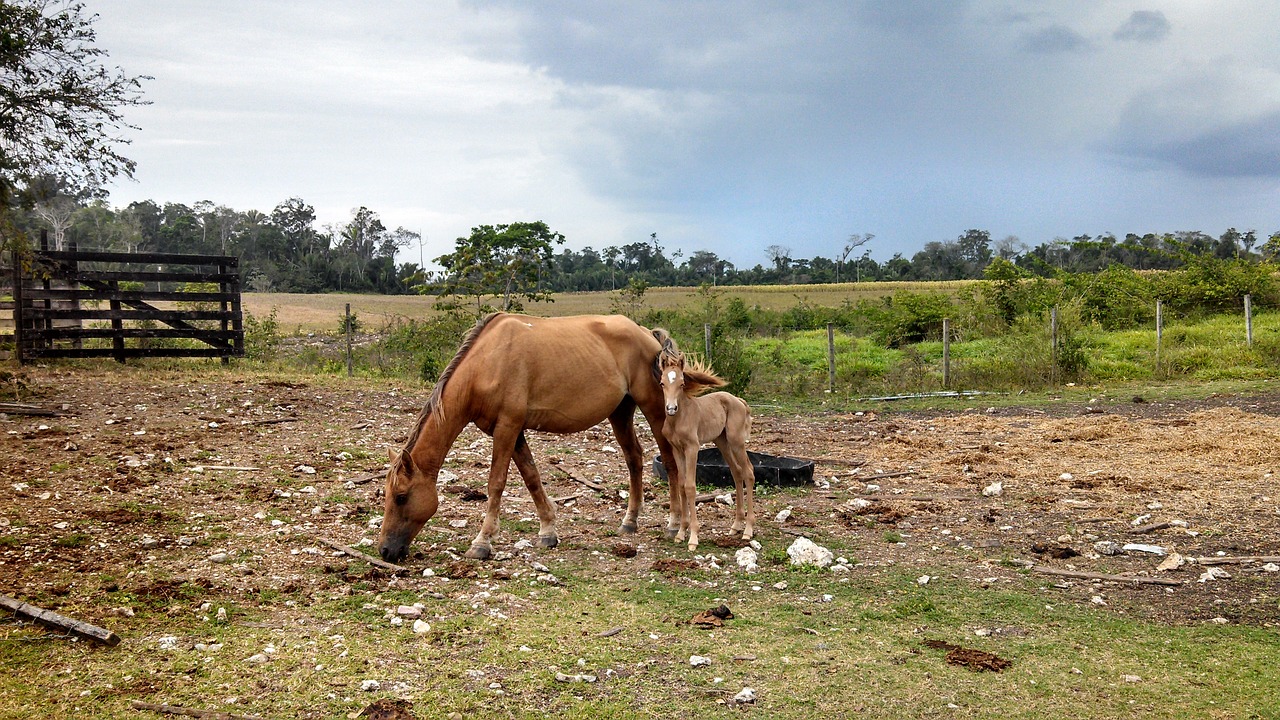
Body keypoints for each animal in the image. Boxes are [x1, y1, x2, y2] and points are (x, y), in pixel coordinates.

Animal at [376, 312, 686, 561]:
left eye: (401, 497)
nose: (386, 551)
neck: (486, 363)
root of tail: (647, 334)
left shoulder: (507, 428)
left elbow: (496, 483)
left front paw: (482, 542)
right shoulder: (512, 432)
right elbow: (532, 477)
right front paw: (548, 531)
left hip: (655, 411)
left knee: (670, 461)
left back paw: (674, 524)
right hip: (620, 412)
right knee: (634, 458)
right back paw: (630, 521)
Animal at [655, 330, 752, 548]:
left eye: (682, 383)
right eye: (662, 383)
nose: (671, 408)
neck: (679, 419)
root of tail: (738, 400)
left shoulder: (692, 448)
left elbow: (691, 487)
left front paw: (693, 537)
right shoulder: (677, 450)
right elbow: (682, 486)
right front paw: (681, 533)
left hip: (736, 441)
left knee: (748, 473)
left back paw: (748, 529)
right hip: (722, 442)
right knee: (737, 472)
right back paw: (736, 526)